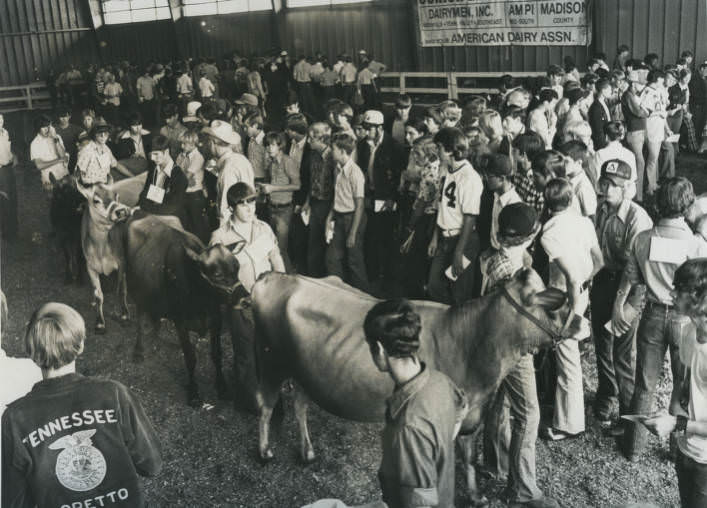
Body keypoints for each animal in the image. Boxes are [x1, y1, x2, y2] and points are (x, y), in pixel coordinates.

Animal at [249, 270, 576, 504]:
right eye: (553, 307)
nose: (581, 323)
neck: (470, 341)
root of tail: (275, 275)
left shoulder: (471, 413)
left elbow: (469, 458)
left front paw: (476, 496)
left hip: (302, 369)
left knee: (300, 404)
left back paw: (307, 452)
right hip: (271, 359)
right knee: (265, 404)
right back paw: (265, 452)